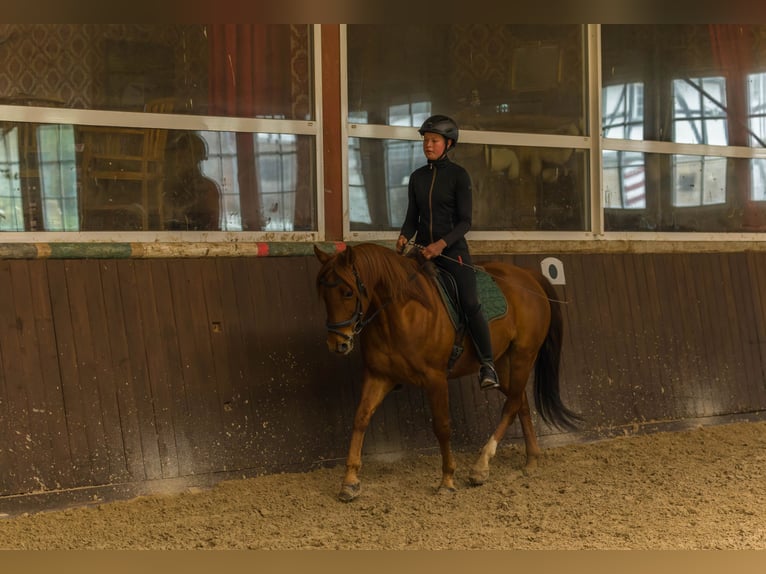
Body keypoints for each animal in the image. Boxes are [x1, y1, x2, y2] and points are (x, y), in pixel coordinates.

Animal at [316, 243, 580, 504]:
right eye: (323, 295)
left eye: (348, 292)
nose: (337, 344)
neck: (402, 312)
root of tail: (528, 276)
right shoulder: (379, 376)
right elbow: (360, 418)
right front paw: (349, 482)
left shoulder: (435, 379)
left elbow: (442, 427)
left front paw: (447, 481)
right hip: (505, 363)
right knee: (520, 402)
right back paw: (531, 460)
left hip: (522, 356)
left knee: (512, 404)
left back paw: (481, 465)